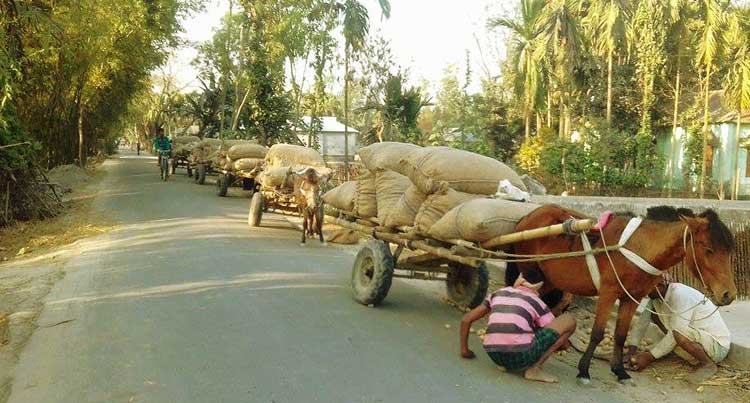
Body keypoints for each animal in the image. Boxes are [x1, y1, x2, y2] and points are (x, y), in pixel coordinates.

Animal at [508, 205, 736, 386]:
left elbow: (620, 335)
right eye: (708, 249)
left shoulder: (631, 298)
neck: (640, 246)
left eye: (729, 250)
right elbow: (598, 333)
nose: (729, 294)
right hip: (529, 269)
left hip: (547, 279)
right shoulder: (608, 293)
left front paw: (620, 371)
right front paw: (584, 371)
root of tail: (529, 215)